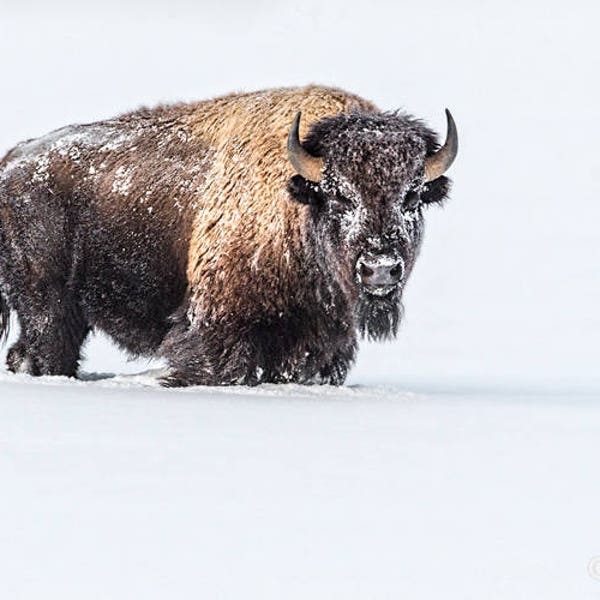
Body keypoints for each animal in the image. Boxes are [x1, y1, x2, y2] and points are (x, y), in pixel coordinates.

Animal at [0, 85, 454, 384]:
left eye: (413, 195)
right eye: (338, 194)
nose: (380, 269)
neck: (296, 201)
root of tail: (12, 162)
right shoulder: (218, 329)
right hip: (48, 306)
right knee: (42, 352)